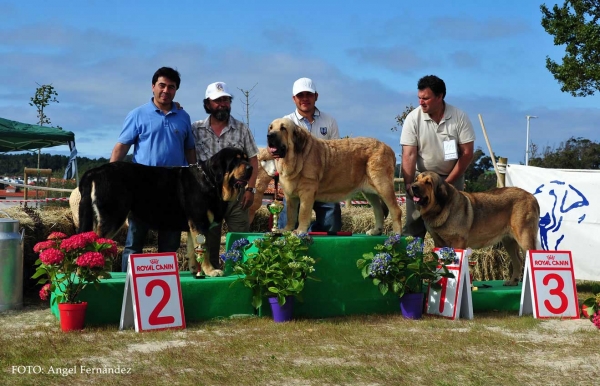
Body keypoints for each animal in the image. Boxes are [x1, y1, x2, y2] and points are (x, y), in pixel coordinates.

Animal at [77, 148, 251, 278]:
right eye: (235, 161)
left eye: (246, 159)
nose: (251, 168)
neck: (210, 180)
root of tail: (95, 171)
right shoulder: (199, 222)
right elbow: (205, 249)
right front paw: (211, 270)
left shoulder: (193, 226)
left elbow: (193, 250)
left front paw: (195, 270)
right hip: (113, 218)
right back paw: (93, 273)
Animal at [410, 170, 540, 284]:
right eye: (416, 179)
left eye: (428, 183)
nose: (413, 187)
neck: (441, 209)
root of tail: (532, 197)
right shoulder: (439, 243)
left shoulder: (458, 242)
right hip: (509, 242)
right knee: (518, 261)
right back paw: (513, 282)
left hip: (524, 238)